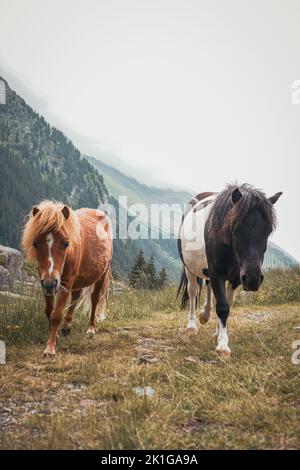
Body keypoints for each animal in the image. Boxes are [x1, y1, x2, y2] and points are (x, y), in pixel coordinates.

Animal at [21, 199, 112, 356]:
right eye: (35, 243)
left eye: (65, 243)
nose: (50, 283)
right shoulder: (45, 282)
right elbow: (49, 310)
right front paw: (55, 334)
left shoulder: (65, 282)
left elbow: (56, 314)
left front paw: (50, 348)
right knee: (76, 296)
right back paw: (67, 325)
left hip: (102, 274)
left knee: (94, 299)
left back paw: (91, 329)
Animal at [177, 185, 282, 354]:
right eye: (236, 228)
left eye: (268, 230)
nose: (253, 279)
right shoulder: (217, 273)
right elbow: (223, 306)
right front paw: (223, 345)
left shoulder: (235, 279)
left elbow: (227, 303)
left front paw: (219, 333)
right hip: (190, 269)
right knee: (192, 292)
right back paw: (192, 325)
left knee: (208, 287)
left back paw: (205, 314)